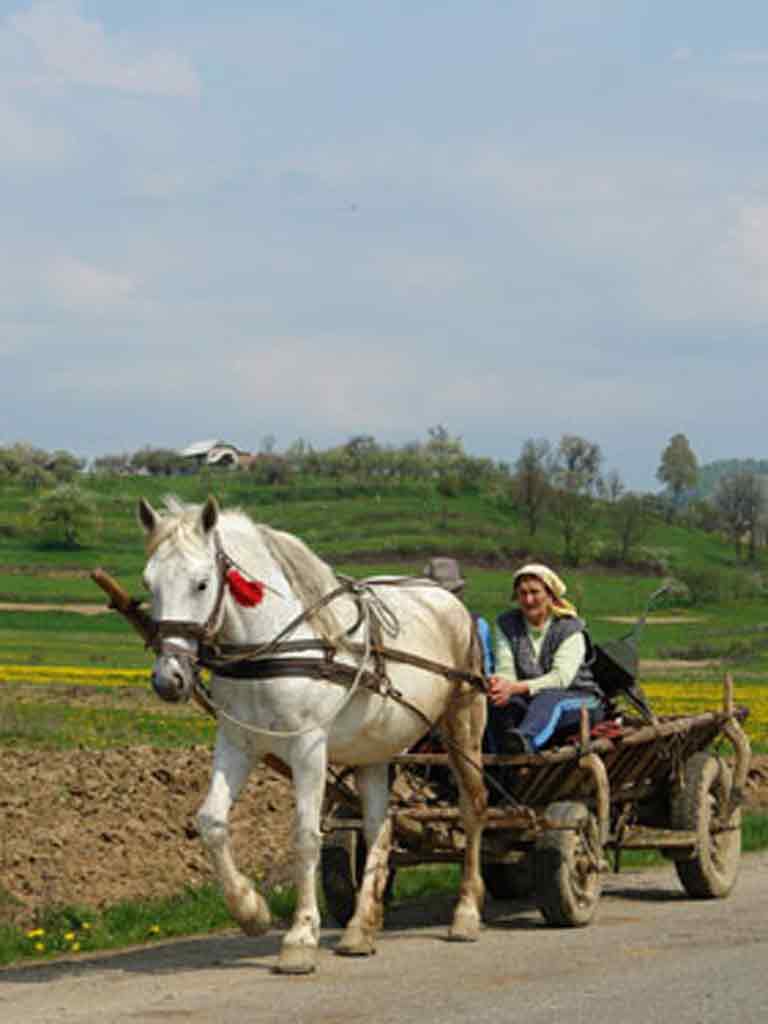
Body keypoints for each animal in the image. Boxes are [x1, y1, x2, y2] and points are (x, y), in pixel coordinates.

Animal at [138, 495, 487, 974]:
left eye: (202, 584)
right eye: (148, 582)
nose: (168, 680)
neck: (271, 648)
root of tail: (446, 598)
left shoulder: (308, 747)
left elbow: (305, 836)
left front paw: (300, 937)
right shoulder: (237, 743)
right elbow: (211, 822)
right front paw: (251, 910)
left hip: (463, 725)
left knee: (473, 809)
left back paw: (466, 913)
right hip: (375, 750)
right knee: (380, 826)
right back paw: (360, 929)